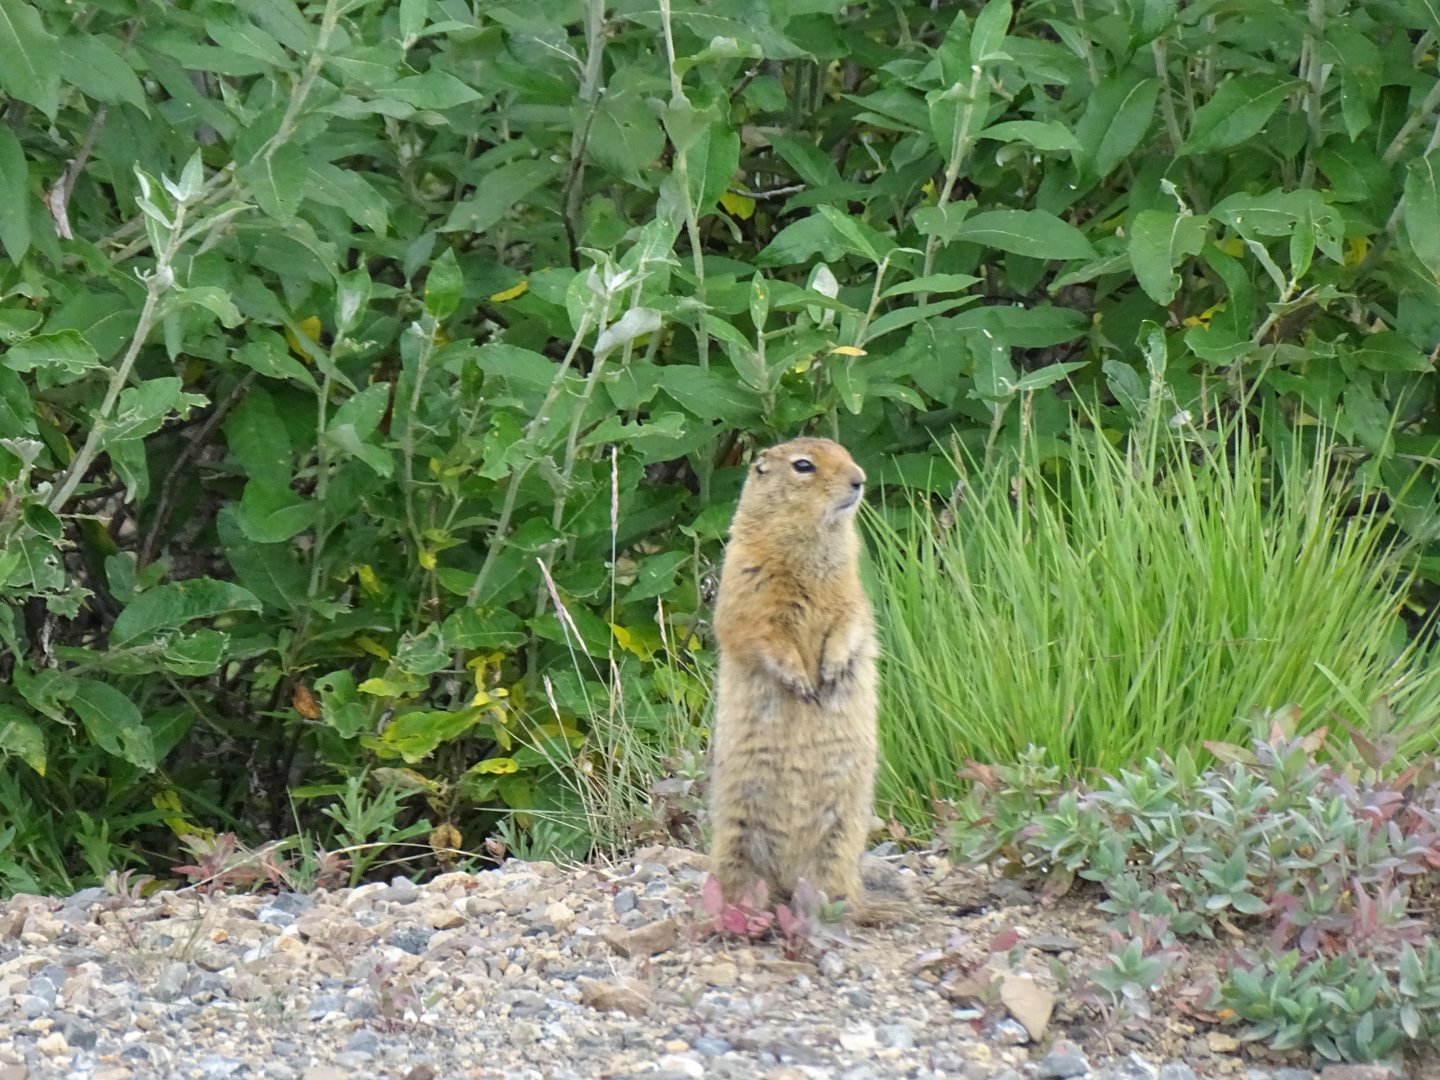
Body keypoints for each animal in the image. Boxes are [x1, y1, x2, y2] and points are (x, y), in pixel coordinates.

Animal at [707, 436, 913, 925]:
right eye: (803, 466)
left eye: (846, 452)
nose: (859, 479)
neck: (811, 546)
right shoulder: (747, 589)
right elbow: (760, 635)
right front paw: (802, 682)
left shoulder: (852, 594)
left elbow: (851, 624)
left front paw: (831, 672)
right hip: (735, 836)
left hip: (840, 838)